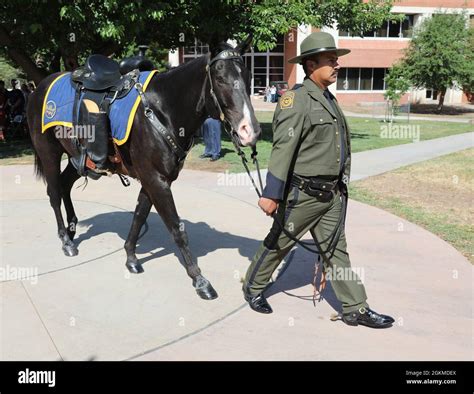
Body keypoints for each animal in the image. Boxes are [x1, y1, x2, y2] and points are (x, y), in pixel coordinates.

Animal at [27, 38, 262, 300]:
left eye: (248, 75)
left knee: (65, 186)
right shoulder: (155, 180)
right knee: (54, 193)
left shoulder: (155, 180)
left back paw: (71, 229)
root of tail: (39, 87)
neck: (163, 109)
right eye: (220, 78)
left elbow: (139, 217)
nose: (249, 131)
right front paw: (199, 279)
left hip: (76, 158)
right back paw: (66, 241)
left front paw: (131, 257)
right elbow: (176, 229)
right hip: (49, 153)